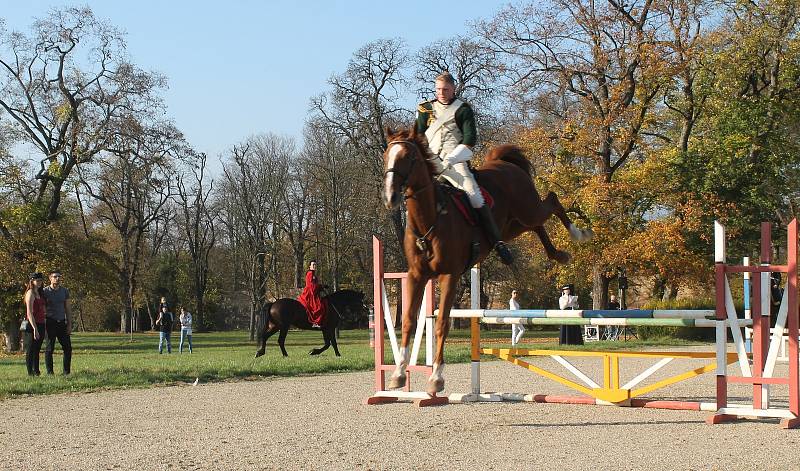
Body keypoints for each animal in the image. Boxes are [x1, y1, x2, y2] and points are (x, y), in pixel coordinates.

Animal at [384, 125, 592, 394]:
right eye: (386, 155)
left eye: (408, 157)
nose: (390, 196)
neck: (429, 220)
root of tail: (503, 162)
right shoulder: (416, 276)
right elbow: (409, 320)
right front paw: (398, 373)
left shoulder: (449, 275)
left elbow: (441, 323)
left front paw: (437, 377)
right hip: (513, 225)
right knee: (537, 226)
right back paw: (556, 253)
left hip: (528, 209)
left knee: (553, 201)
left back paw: (578, 234)